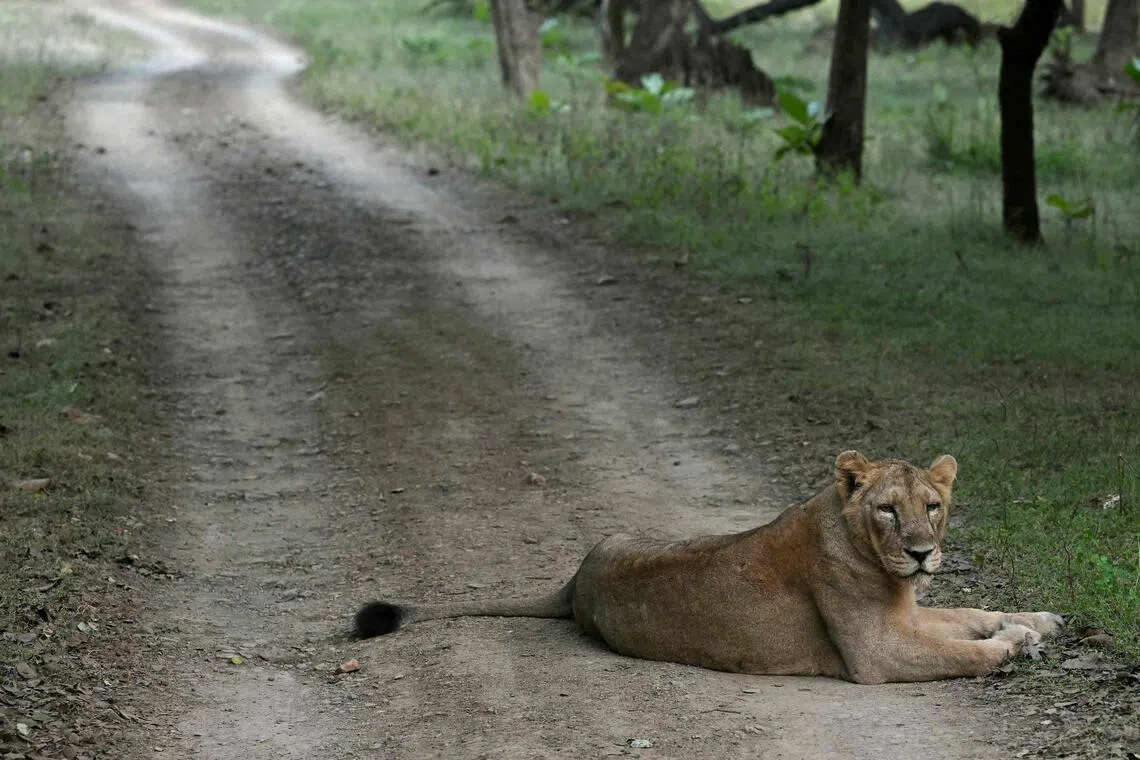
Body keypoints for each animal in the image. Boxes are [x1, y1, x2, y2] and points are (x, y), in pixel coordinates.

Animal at [355, 451, 1063, 683]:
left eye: (932, 506)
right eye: (888, 510)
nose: (920, 552)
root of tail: (580, 575)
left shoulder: (907, 615)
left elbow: (969, 613)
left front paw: (1036, 621)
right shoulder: (877, 652)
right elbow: (963, 650)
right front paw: (1014, 645)